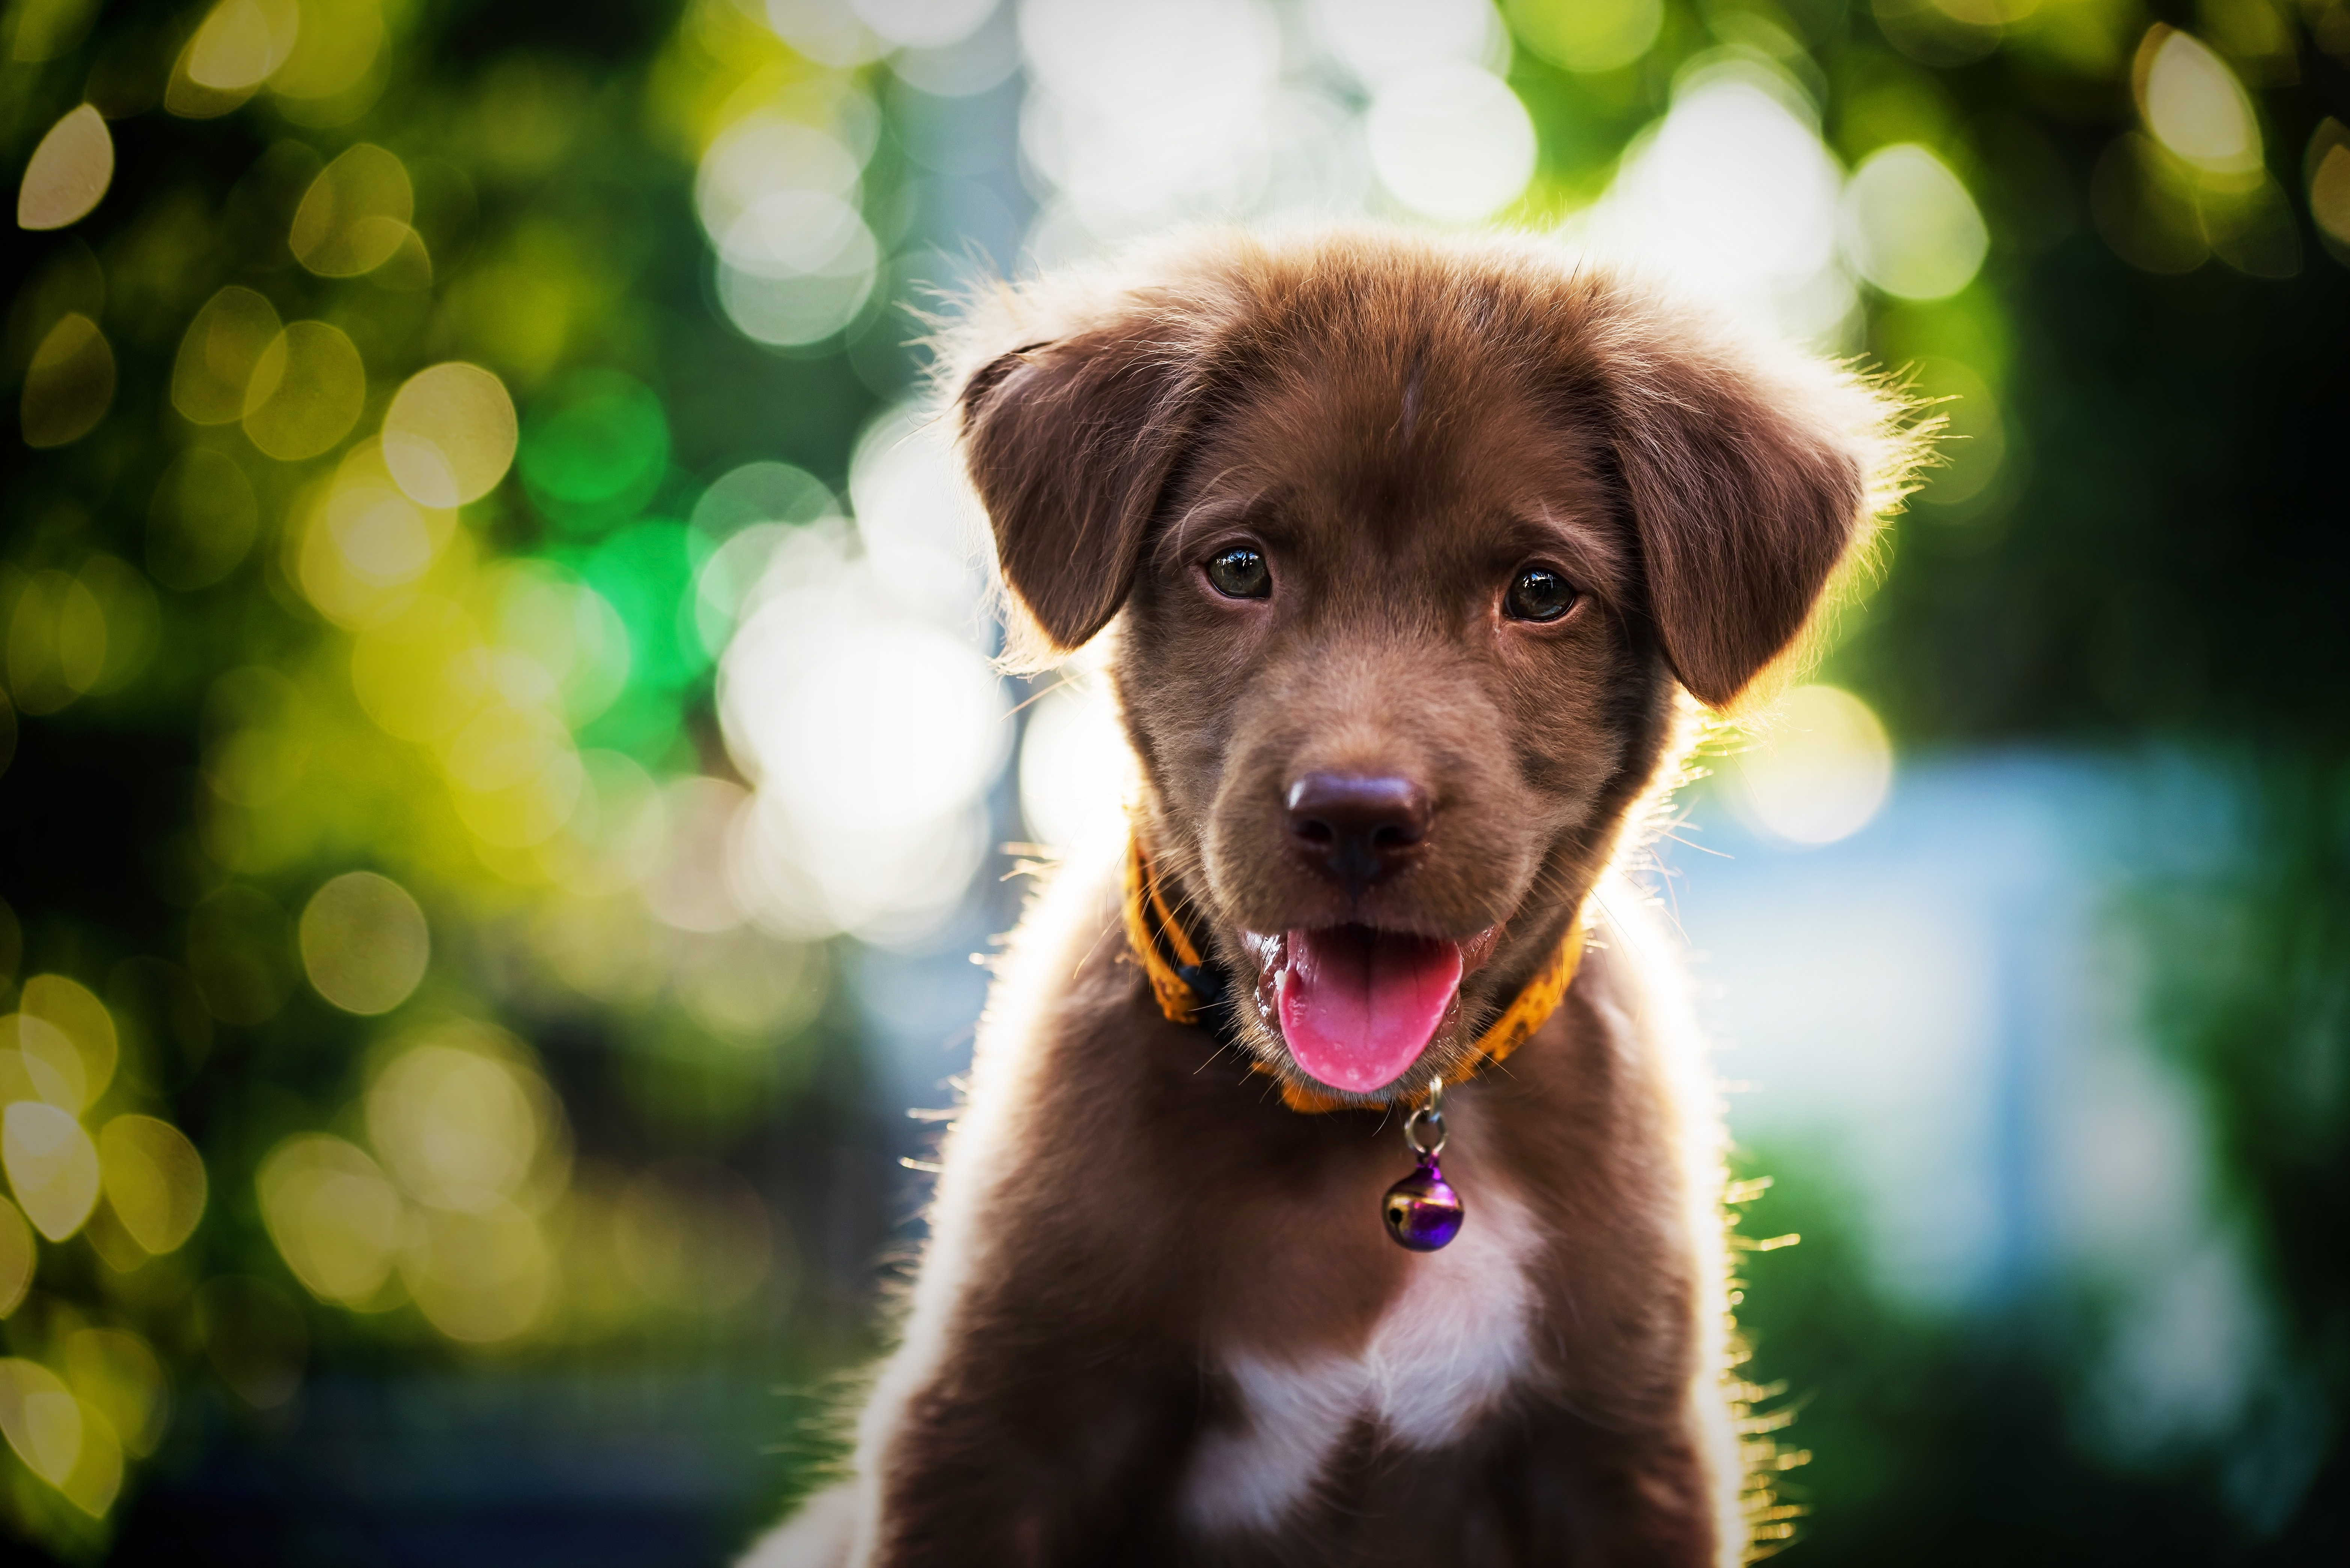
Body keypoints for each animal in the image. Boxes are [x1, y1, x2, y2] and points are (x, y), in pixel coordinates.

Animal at [743, 223, 1918, 1568]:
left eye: (1539, 591)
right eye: (1238, 567)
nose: (1356, 815)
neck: (1365, 1140)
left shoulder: (1626, 1455)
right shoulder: (987, 1432)